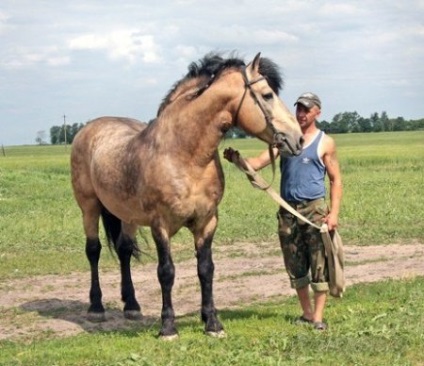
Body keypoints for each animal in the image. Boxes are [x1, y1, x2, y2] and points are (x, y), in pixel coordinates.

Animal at [70, 50, 302, 338]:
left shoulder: (207, 221)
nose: (297, 138)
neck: (184, 154)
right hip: (89, 207)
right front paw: (168, 327)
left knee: (124, 251)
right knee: (93, 250)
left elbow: (206, 269)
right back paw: (96, 307)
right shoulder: (160, 225)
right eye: (268, 95)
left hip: (127, 215)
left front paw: (212, 322)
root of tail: (89, 129)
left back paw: (132, 306)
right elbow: (166, 272)